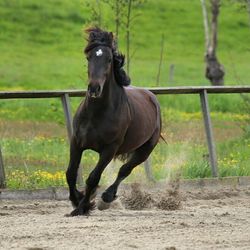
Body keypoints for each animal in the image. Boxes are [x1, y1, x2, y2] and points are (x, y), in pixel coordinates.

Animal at [65, 26, 161, 215]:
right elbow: (71, 173)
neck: (96, 114)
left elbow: (93, 178)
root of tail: (151, 97)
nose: (94, 88)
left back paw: (107, 198)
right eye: (89, 57)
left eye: (109, 59)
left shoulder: (109, 149)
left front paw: (82, 207)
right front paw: (77, 199)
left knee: (125, 170)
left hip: (145, 149)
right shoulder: (77, 142)